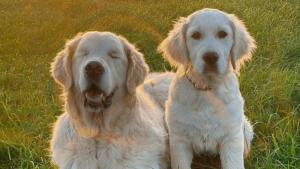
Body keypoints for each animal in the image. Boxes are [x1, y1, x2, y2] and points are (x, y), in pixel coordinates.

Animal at [158, 8, 256, 169]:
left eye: (223, 34)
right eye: (195, 35)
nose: (210, 57)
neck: (207, 89)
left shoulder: (232, 137)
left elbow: (234, 162)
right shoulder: (179, 139)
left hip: (244, 125)